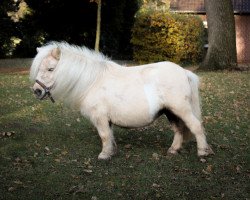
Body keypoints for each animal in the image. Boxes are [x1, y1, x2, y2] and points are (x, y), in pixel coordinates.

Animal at [29, 41, 213, 159]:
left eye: (50, 68)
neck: (93, 81)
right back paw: (173, 150)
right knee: (179, 130)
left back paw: (203, 152)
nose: (37, 91)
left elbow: (104, 135)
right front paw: (111, 152)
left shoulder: (100, 117)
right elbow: (109, 136)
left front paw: (104, 155)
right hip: (170, 112)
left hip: (181, 109)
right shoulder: (107, 119)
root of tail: (184, 72)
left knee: (196, 126)